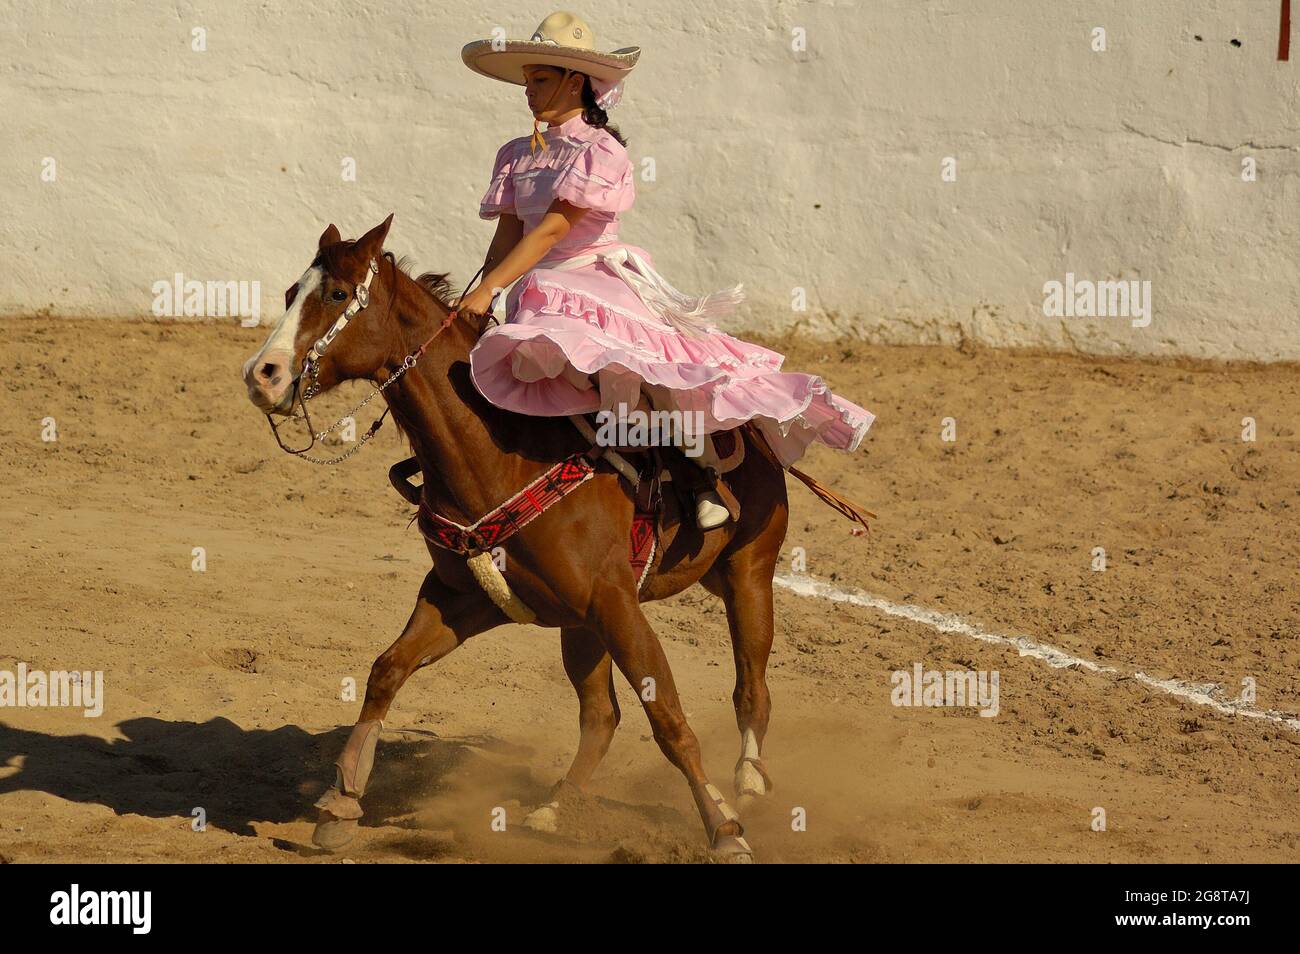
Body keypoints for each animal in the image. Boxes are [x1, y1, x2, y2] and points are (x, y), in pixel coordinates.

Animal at [244, 213, 790, 863]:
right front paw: (341, 802)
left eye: (334, 294)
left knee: (751, 688)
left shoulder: (615, 603)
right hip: (581, 628)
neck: (501, 454)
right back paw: (555, 807)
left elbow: (669, 720)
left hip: (749, 570)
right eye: (288, 294)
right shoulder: (466, 598)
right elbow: (386, 671)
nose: (261, 376)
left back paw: (750, 781)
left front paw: (725, 832)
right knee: (601, 716)